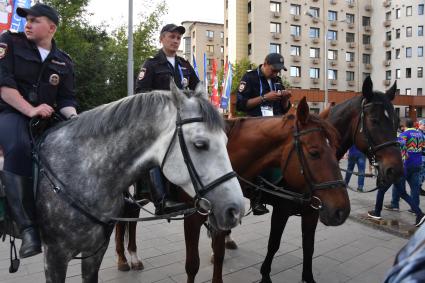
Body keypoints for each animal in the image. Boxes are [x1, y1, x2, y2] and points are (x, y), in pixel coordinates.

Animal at [34, 82, 243, 283]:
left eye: (226, 140)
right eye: (200, 144)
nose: (235, 209)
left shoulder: (92, 253)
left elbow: (218, 255)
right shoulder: (54, 256)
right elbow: (193, 264)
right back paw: (124, 260)